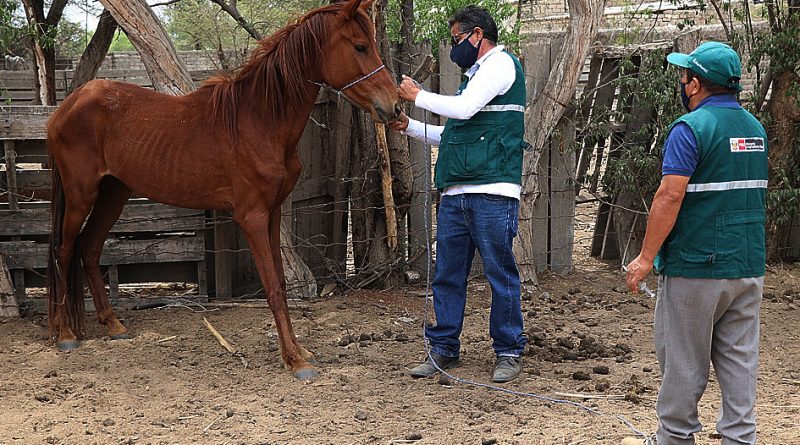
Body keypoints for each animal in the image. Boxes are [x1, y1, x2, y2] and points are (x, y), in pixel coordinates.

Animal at [43, 0, 400, 378]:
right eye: (360, 47)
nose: (393, 106)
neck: (259, 121)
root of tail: (67, 106)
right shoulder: (252, 217)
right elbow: (273, 288)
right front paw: (294, 359)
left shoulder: (272, 213)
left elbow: (281, 282)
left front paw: (299, 350)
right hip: (81, 195)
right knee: (64, 251)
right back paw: (65, 334)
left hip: (114, 193)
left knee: (90, 246)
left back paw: (113, 324)